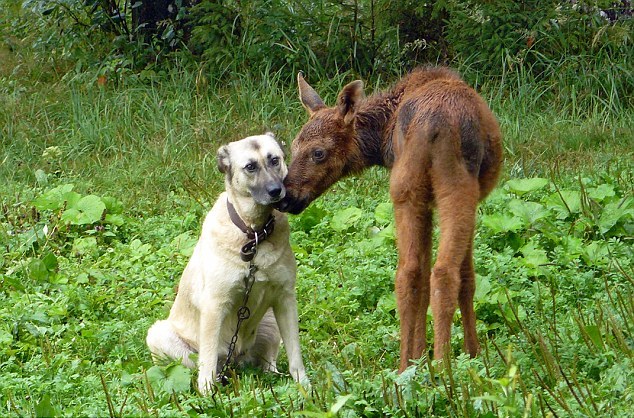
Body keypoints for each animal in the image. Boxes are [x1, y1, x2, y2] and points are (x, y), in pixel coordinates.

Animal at [147, 133, 308, 392]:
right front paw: (207, 393)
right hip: (159, 334)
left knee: (268, 364)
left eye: (274, 160)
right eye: (250, 167)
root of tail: (234, 363)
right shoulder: (215, 305)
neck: (254, 235)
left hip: (271, 322)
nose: (277, 191)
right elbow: (208, 359)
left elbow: (296, 354)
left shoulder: (285, 299)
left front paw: (306, 388)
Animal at [278, 67, 502, 370]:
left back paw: (408, 365)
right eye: (293, 147)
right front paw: (472, 353)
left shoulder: (424, 203)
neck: (382, 138)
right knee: (443, 272)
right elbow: (467, 278)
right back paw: (443, 366)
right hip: (458, 189)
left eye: (318, 152)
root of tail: (431, 128)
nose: (285, 196)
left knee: (408, 272)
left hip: (404, 191)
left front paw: (421, 356)